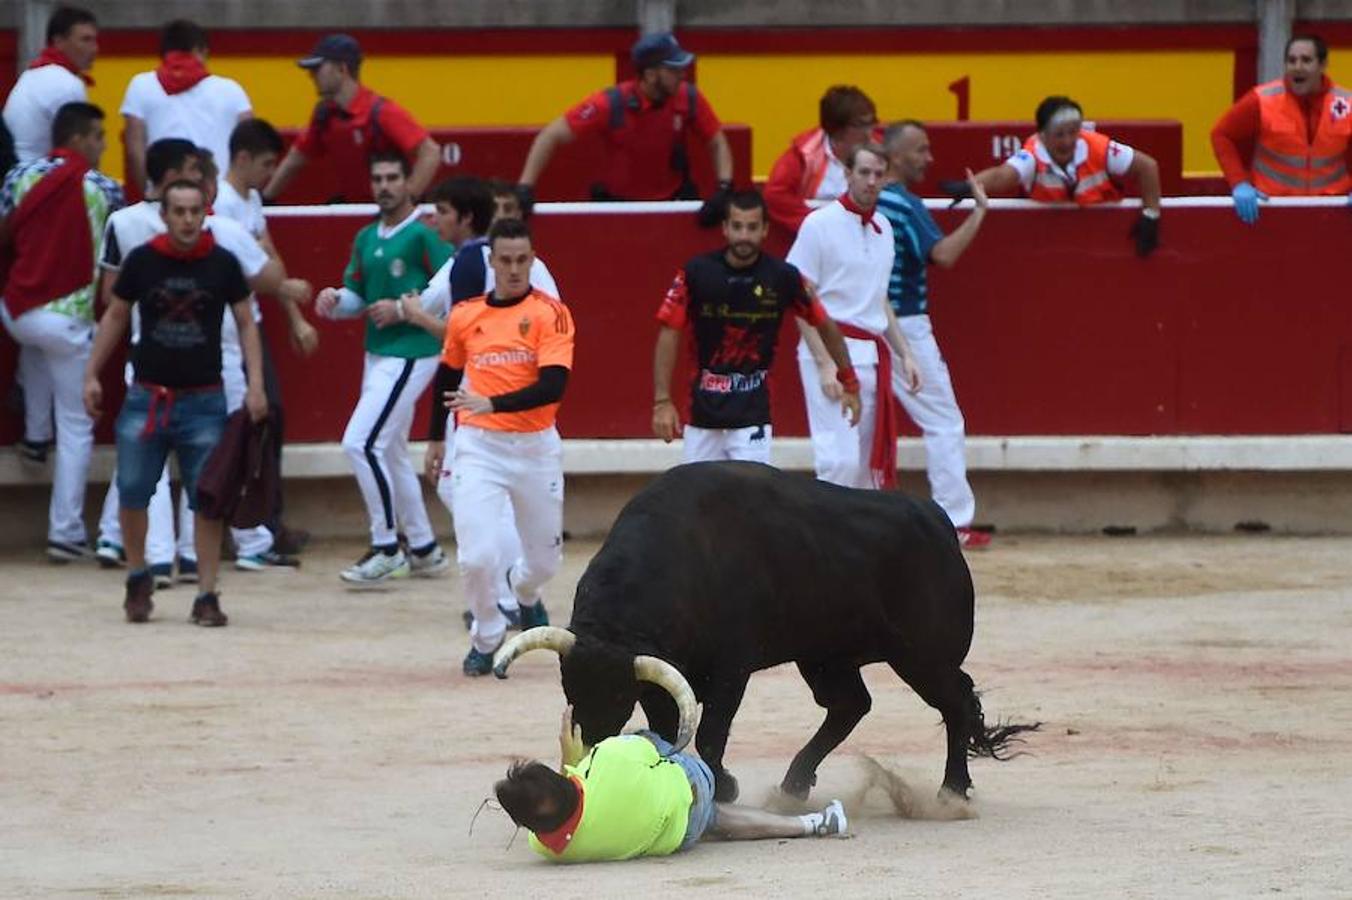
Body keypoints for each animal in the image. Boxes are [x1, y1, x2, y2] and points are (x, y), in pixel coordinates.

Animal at [497, 462, 1032, 800]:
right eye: (568, 686)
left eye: (614, 695)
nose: (588, 752)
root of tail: (939, 522)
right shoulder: (662, 676)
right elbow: (670, 729)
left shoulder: (731, 667)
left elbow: (711, 733)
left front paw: (725, 787)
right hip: (825, 657)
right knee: (850, 705)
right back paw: (794, 785)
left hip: (921, 656)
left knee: (955, 703)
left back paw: (952, 790)